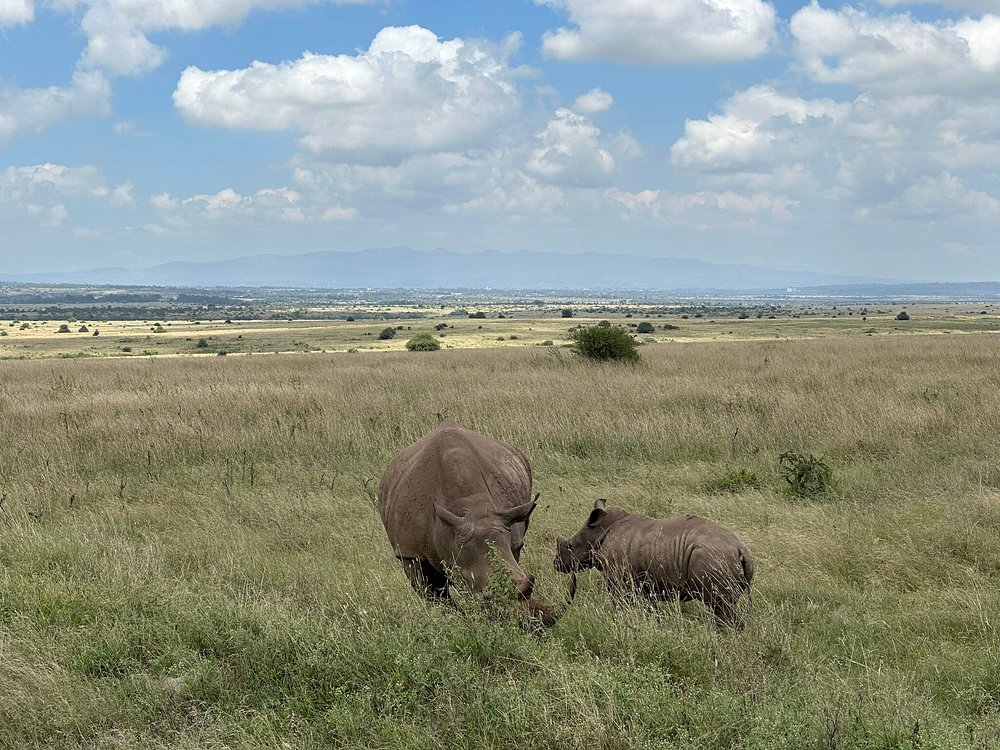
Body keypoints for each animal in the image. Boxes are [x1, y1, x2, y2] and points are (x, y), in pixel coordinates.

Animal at [554, 499, 754, 628]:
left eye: (569, 546)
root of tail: (741, 549)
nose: (556, 564)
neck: (600, 532)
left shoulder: (619, 581)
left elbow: (620, 607)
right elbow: (652, 611)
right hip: (721, 557)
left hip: (713, 556)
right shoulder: (648, 585)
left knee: (720, 608)